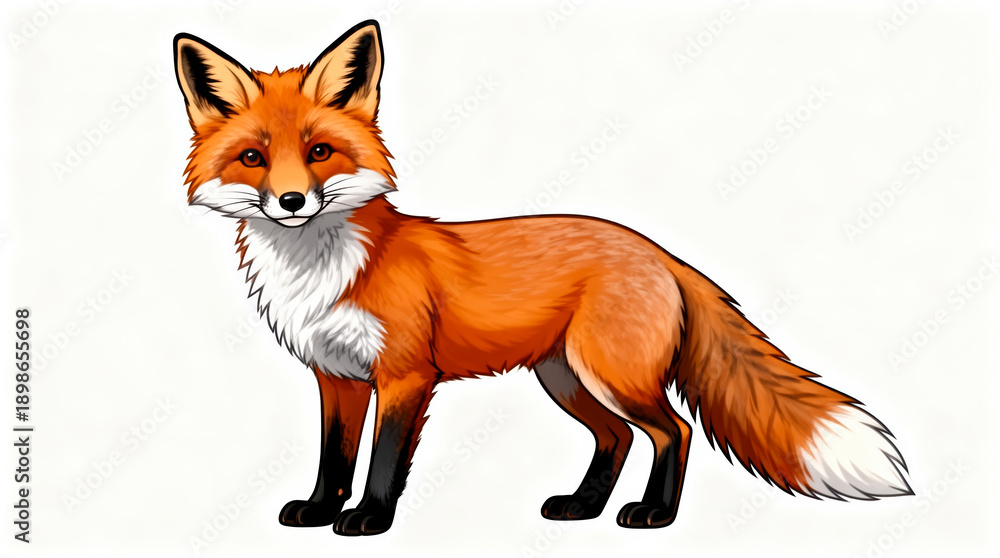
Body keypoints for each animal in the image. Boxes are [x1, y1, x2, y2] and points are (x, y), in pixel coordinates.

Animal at [173, 20, 912, 536]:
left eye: (320, 151)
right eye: (254, 158)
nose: (292, 201)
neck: (324, 267)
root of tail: (659, 250)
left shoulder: (405, 374)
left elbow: (382, 461)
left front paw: (369, 519)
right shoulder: (337, 377)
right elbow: (334, 457)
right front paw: (321, 508)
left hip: (610, 374)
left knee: (673, 432)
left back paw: (654, 515)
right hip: (565, 378)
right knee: (617, 438)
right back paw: (583, 506)